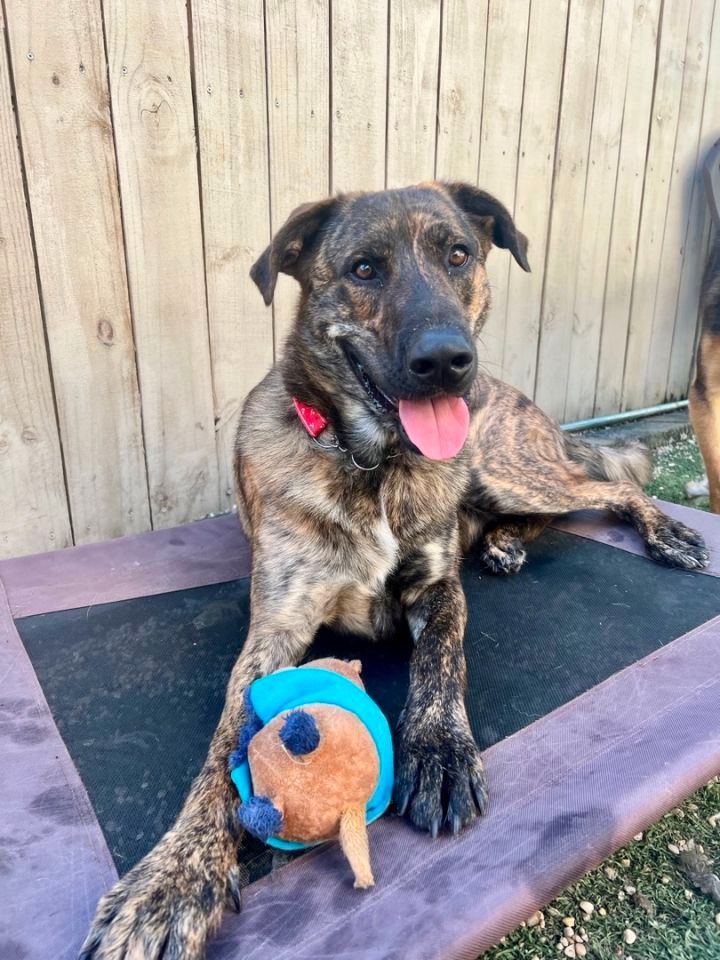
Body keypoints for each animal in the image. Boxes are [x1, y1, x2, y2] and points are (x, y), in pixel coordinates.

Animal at [80, 184, 708, 956]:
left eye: (459, 254)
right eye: (363, 268)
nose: (446, 361)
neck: (372, 464)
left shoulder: (439, 589)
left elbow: (442, 661)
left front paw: (438, 751)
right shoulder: (274, 630)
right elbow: (224, 748)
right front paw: (170, 879)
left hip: (506, 468)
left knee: (614, 488)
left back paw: (665, 533)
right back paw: (508, 543)